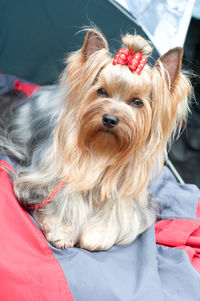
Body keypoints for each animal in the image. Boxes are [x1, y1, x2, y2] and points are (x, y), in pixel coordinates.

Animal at [0, 28, 191, 250]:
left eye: (137, 102)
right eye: (101, 91)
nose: (110, 119)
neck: (103, 152)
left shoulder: (128, 198)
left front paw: (96, 235)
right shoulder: (45, 181)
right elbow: (61, 200)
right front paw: (62, 231)